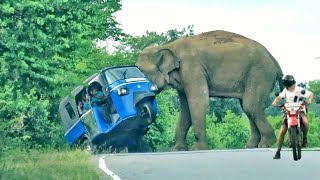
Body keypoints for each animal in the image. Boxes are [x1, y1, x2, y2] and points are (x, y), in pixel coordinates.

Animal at [135, 29, 282, 150]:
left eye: (141, 71)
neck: (167, 46)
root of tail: (275, 60)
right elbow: (185, 110)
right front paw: (177, 149)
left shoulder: (192, 69)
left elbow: (198, 102)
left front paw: (198, 149)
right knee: (248, 107)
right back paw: (252, 146)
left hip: (260, 73)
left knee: (250, 106)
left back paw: (266, 144)